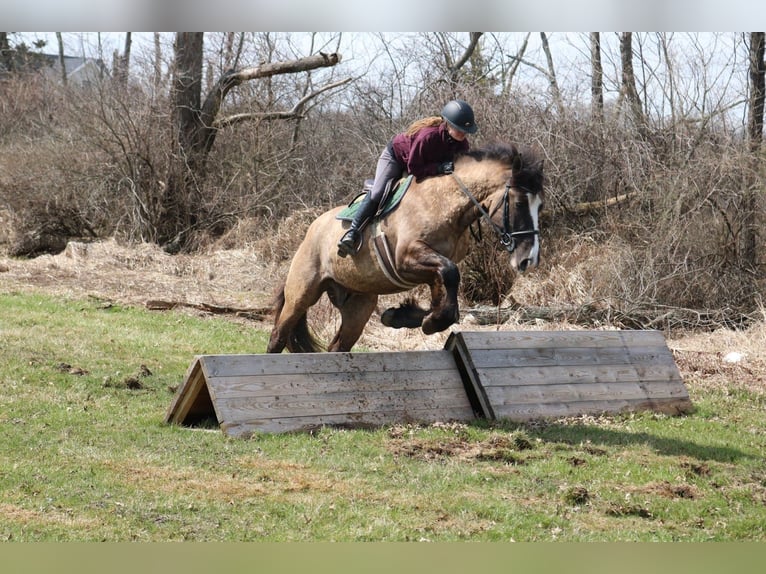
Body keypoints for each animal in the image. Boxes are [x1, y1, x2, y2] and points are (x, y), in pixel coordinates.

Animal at [267, 142, 545, 353]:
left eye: (540, 206)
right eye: (519, 203)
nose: (528, 260)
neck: (444, 203)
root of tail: (311, 230)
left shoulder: (430, 268)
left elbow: (447, 294)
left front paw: (402, 316)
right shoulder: (406, 259)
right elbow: (450, 274)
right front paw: (427, 321)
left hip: (358, 303)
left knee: (338, 346)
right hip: (303, 292)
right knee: (278, 335)